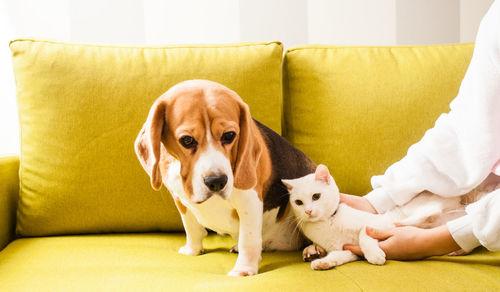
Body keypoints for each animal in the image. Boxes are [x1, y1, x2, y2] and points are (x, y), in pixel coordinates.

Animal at [136, 80, 316, 276]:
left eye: (229, 135)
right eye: (186, 140)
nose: (216, 182)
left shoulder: (249, 202)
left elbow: (248, 239)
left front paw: (243, 270)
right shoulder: (179, 198)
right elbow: (191, 227)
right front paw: (192, 250)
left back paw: (314, 250)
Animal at [282, 164, 488, 272]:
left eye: (316, 196)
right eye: (298, 202)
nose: (308, 211)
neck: (327, 224)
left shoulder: (372, 224)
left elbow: (365, 234)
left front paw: (375, 255)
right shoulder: (348, 250)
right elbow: (338, 256)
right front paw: (324, 262)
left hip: (420, 206)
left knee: (429, 213)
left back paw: (404, 223)